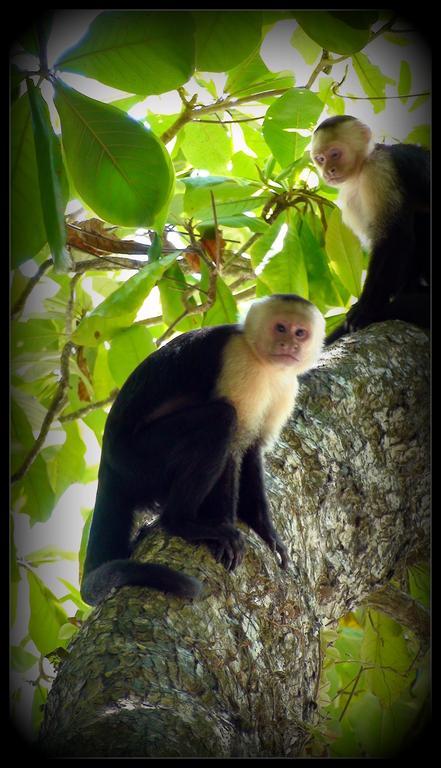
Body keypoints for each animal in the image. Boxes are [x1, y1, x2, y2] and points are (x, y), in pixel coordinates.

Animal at [81, 294, 324, 608]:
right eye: (280, 328)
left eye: (300, 333)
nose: (289, 345)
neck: (265, 364)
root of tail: (108, 465)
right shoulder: (239, 361)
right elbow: (234, 447)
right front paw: (223, 524)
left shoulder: (286, 387)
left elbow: (253, 451)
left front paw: (266, 531)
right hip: (136, 459)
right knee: (220, 419)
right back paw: (182, 522)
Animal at [310, 115, 430, 344]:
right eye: (320, 159)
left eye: (335, 154)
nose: (328, 171)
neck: (361, 168)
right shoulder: (350, 197)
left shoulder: (379, 171)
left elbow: (393, 237)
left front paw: (368, 309)